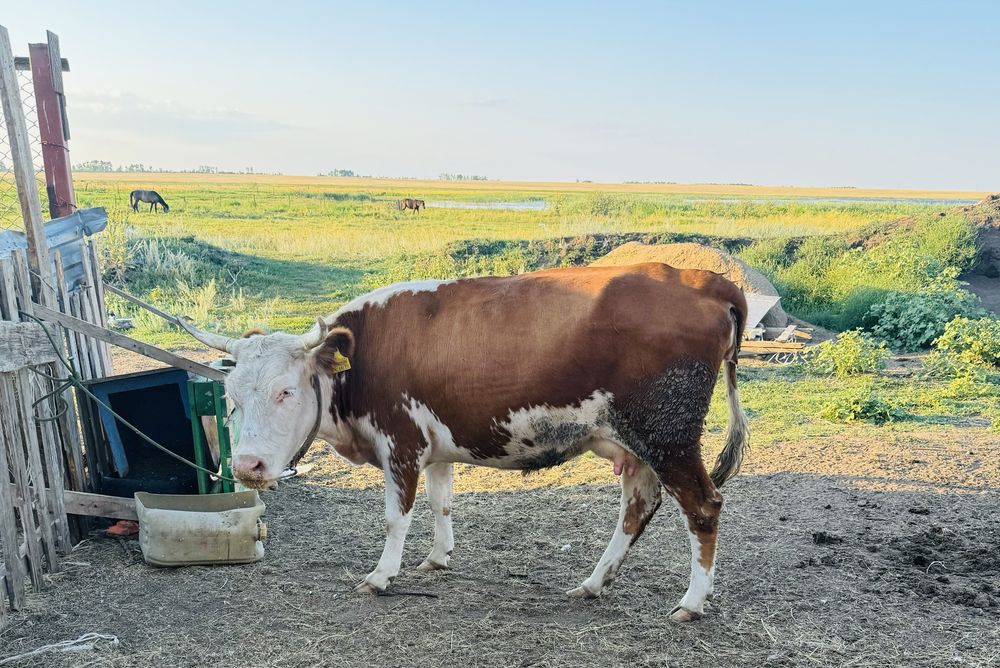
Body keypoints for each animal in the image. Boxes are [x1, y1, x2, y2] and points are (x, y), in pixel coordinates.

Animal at [180, 262, 749, 622]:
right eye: (230, 395)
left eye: (286, 390)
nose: (247, 466)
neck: (363, 356)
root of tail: (708, 282)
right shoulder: (434, 446)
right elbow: (442, 502)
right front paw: (438, 557)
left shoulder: (401, 441)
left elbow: (396, 516)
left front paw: (382, 575)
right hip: (638, 445)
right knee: (638, 506)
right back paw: (594, 583)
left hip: (668, 434)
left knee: (703, 505)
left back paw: (692, 602)